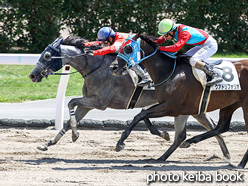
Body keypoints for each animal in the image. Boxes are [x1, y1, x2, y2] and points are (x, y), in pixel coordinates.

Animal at [28, 36, 229, 160]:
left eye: (47, 55)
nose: (32, 75)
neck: (94, 66)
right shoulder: (89, 103)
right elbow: (70, 120)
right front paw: (48, 143)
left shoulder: (99, 102)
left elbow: (71, 102)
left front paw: (75, 135)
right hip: (192, 108)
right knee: (212, 125)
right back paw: (225, 154)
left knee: (212, 126)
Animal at [111, 32, 248, 168]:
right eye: (120, 47)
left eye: (128, 48)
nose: (113, 67)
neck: (168, 72)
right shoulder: (173, 106)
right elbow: (143, 113)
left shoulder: (171, 107)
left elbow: (139, 115)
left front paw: (120, 143)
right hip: (230, 104)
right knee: (220, 127)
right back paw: (172, 152)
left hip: (244, 105)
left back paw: (240, 164)